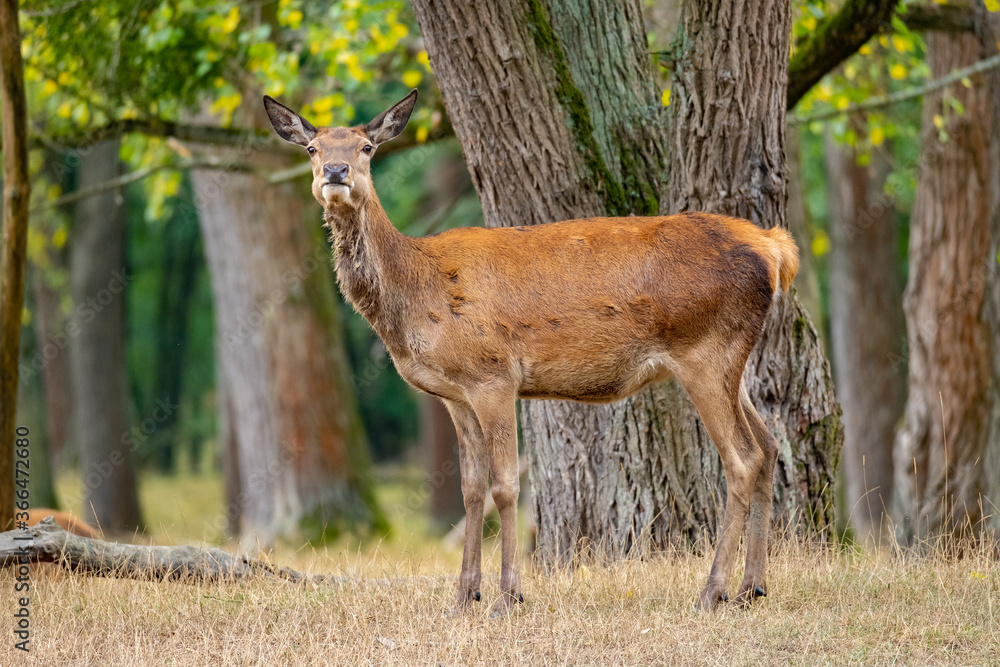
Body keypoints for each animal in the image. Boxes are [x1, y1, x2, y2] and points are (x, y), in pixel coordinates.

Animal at [263, 89, 798, 616]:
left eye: (366, 147)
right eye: (312, 148)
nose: (336, 172)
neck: (416, 293)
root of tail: (776, 248)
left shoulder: (493, 375)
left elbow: (505, 485)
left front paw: (507, 597)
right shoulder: (454, 394)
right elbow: (470, 488)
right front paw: (463, 598)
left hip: (705, 351)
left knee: (742, 459)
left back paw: (712, 592)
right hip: (732, 360)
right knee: (770, 445)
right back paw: (752, 587)